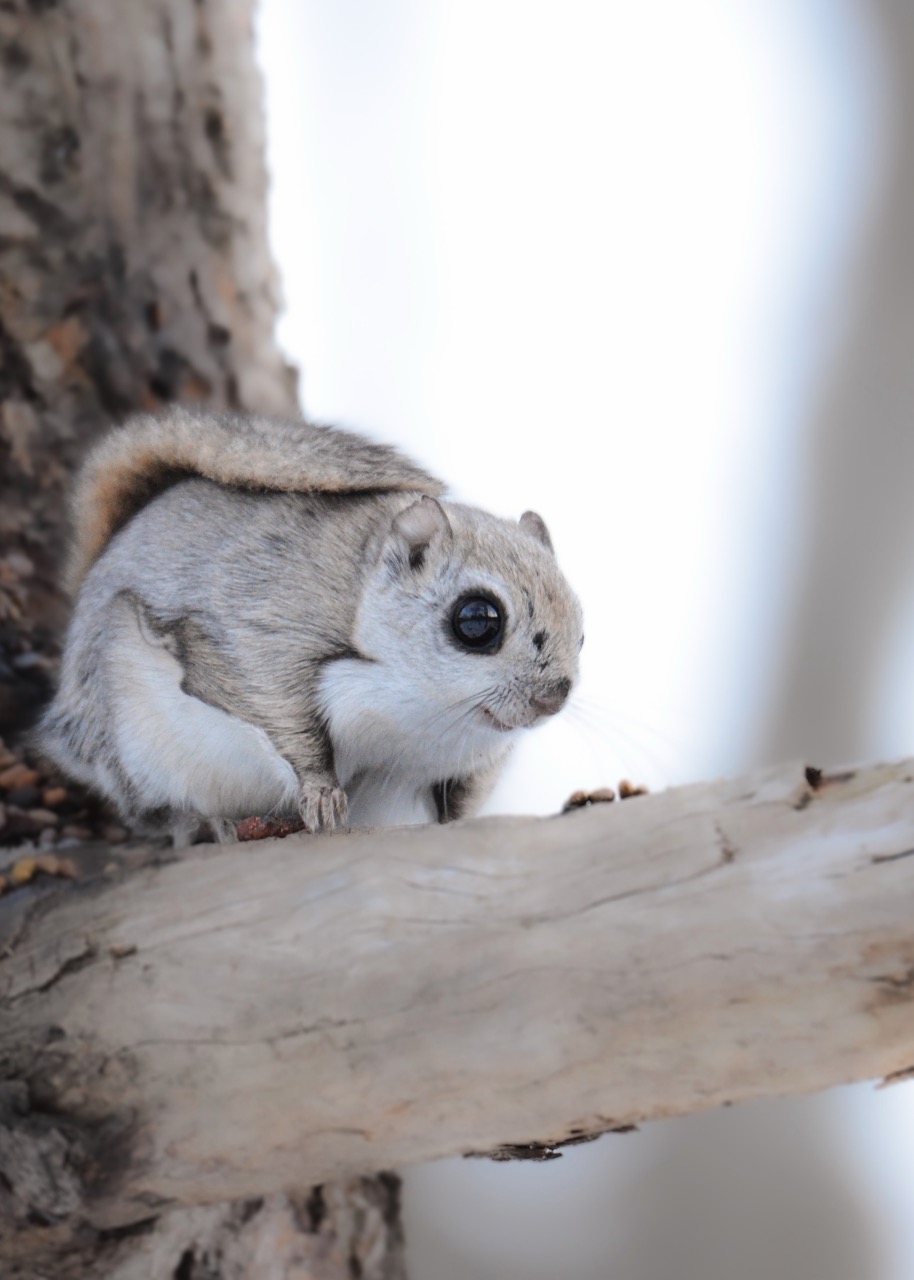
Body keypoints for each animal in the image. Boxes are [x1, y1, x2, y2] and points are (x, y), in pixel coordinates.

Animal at [38, 406, 583, 844]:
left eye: (582, 631)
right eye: (476, 620)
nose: (551, 698)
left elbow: (462, 796)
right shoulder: (260, 635)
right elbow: (282, 717)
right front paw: (321, 792)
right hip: (130, 736)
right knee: (159, 811)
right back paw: (208, 824)